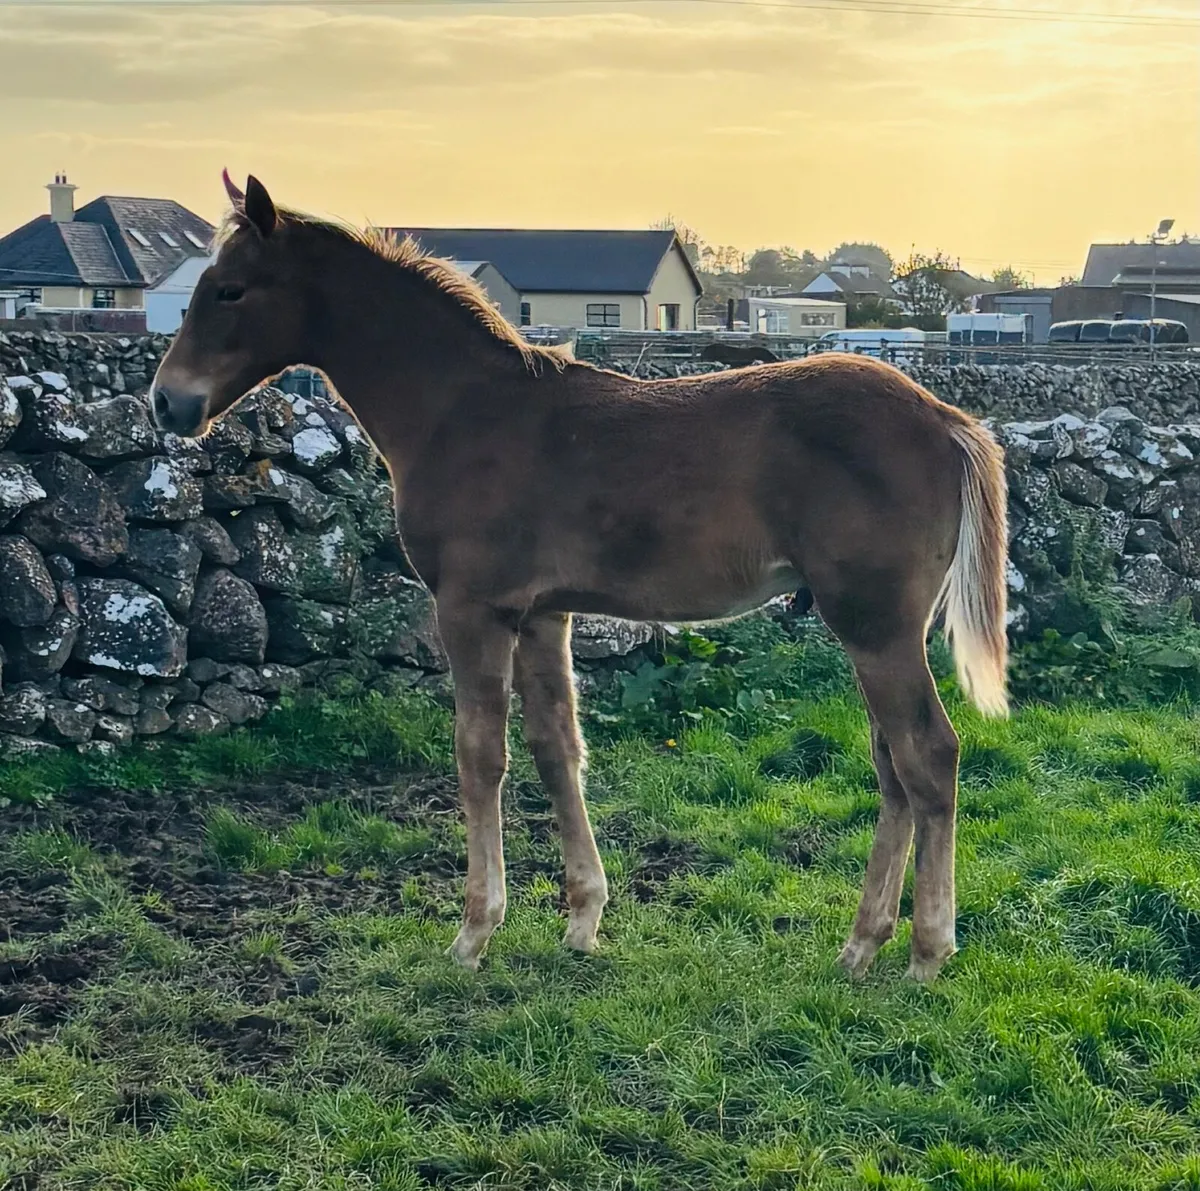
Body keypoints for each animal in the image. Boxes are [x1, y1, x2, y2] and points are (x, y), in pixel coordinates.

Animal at [152, 173, 1009, 983]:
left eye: (229, 290)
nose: (168, 402)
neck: (463, 410)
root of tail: (946, 420)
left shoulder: (473, 607)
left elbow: (480, 756)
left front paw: (474, 930)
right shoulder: (542, 613)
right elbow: (557, 748)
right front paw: (583, 918)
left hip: (875, 626)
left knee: (928, 756)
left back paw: (927, 949)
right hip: (873, 630)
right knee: (892, 768)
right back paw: (862, 943)